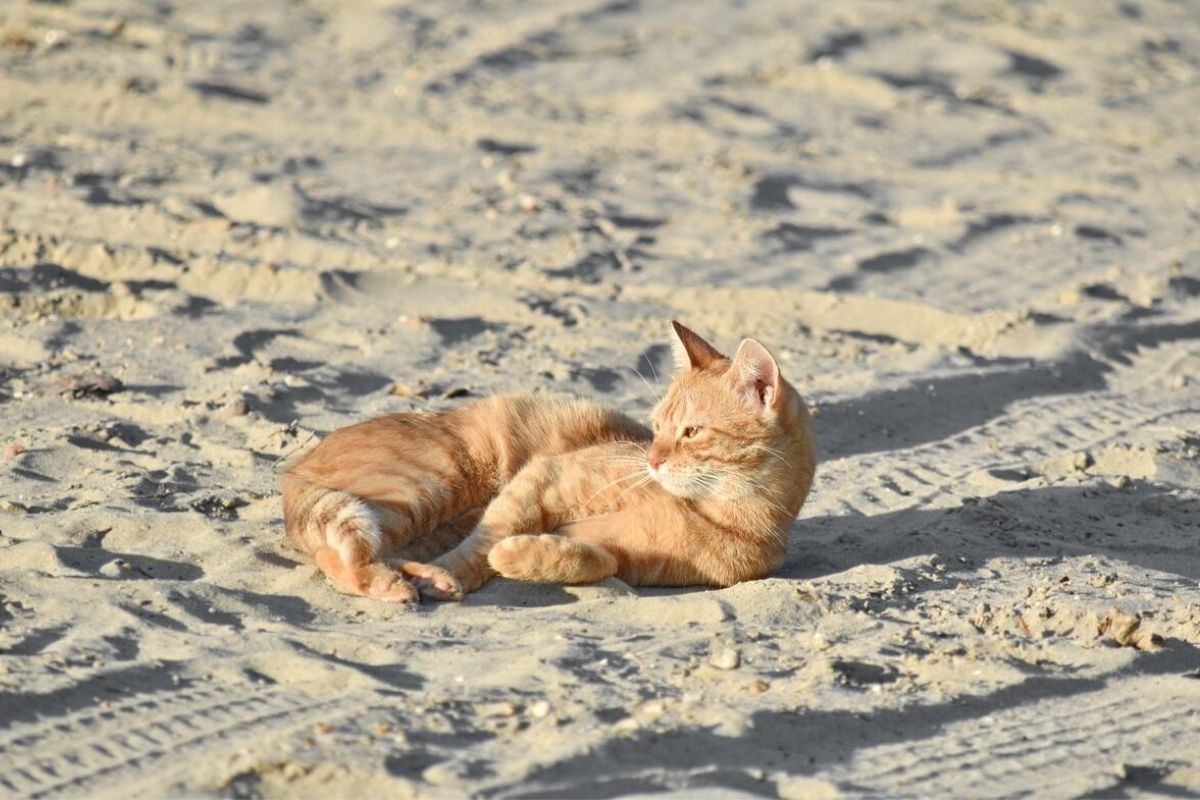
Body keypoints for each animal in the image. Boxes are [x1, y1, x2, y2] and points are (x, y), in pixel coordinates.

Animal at [280, 321, 816, 604]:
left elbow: (590, 558)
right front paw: (456, 571)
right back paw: (390, 583)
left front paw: (525, 556)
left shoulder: (628, 560)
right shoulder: (543, 478)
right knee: (339, 550)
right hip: (425, 488)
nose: (651, 459)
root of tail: (294, 468)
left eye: (691, 432)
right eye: (657, 426)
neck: (716, 513)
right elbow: (484, 542)